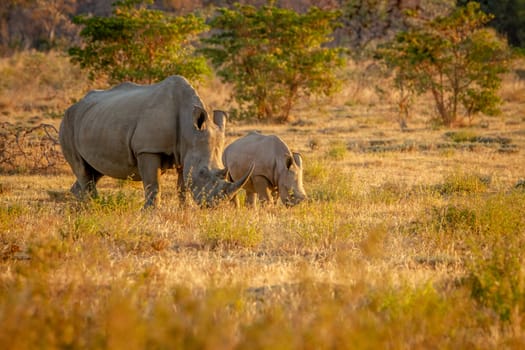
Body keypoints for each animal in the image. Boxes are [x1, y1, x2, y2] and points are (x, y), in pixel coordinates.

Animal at [59, 75, 252, 206]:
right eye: (203, 172)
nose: (215, 205)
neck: (190, 130)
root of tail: (75, 104)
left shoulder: (184, 152)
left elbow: (182, 186)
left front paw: (185, 209)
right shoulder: (148, 149)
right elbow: (153, 184)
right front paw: (150, 213)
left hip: (95, 120)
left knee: (94, 170)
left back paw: (83, 206)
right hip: (68, 123)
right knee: (83, 170)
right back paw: (93, 206)